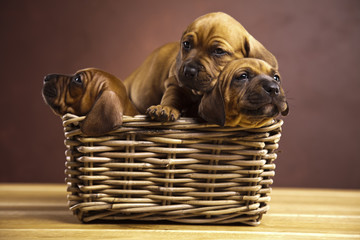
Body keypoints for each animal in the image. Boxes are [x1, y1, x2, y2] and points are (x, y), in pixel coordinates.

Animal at [124, 11, 278, 122]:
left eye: (219, 51)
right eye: (186, 44)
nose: (188, 71)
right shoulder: (174, 82)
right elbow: (172, 96)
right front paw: (165, 108)